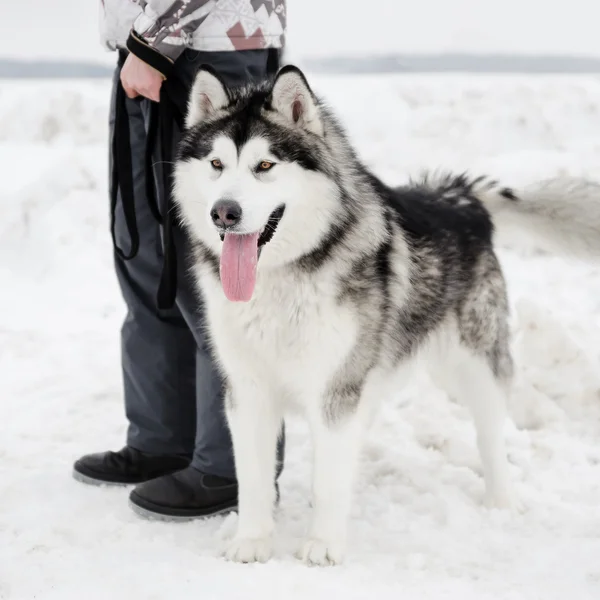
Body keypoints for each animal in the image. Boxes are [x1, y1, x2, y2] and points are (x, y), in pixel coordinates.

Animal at [171, 65, 600, 568]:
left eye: (265, 166)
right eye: (216, 164)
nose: (224, 212)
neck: (283, 278)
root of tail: (458, 197)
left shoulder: (336, 390)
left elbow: (330, 475)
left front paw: (323, 544)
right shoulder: (249, 389)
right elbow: (254, 479)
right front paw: (252, 542)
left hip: (473, 365)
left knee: (491, 434)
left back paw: (502, 501)